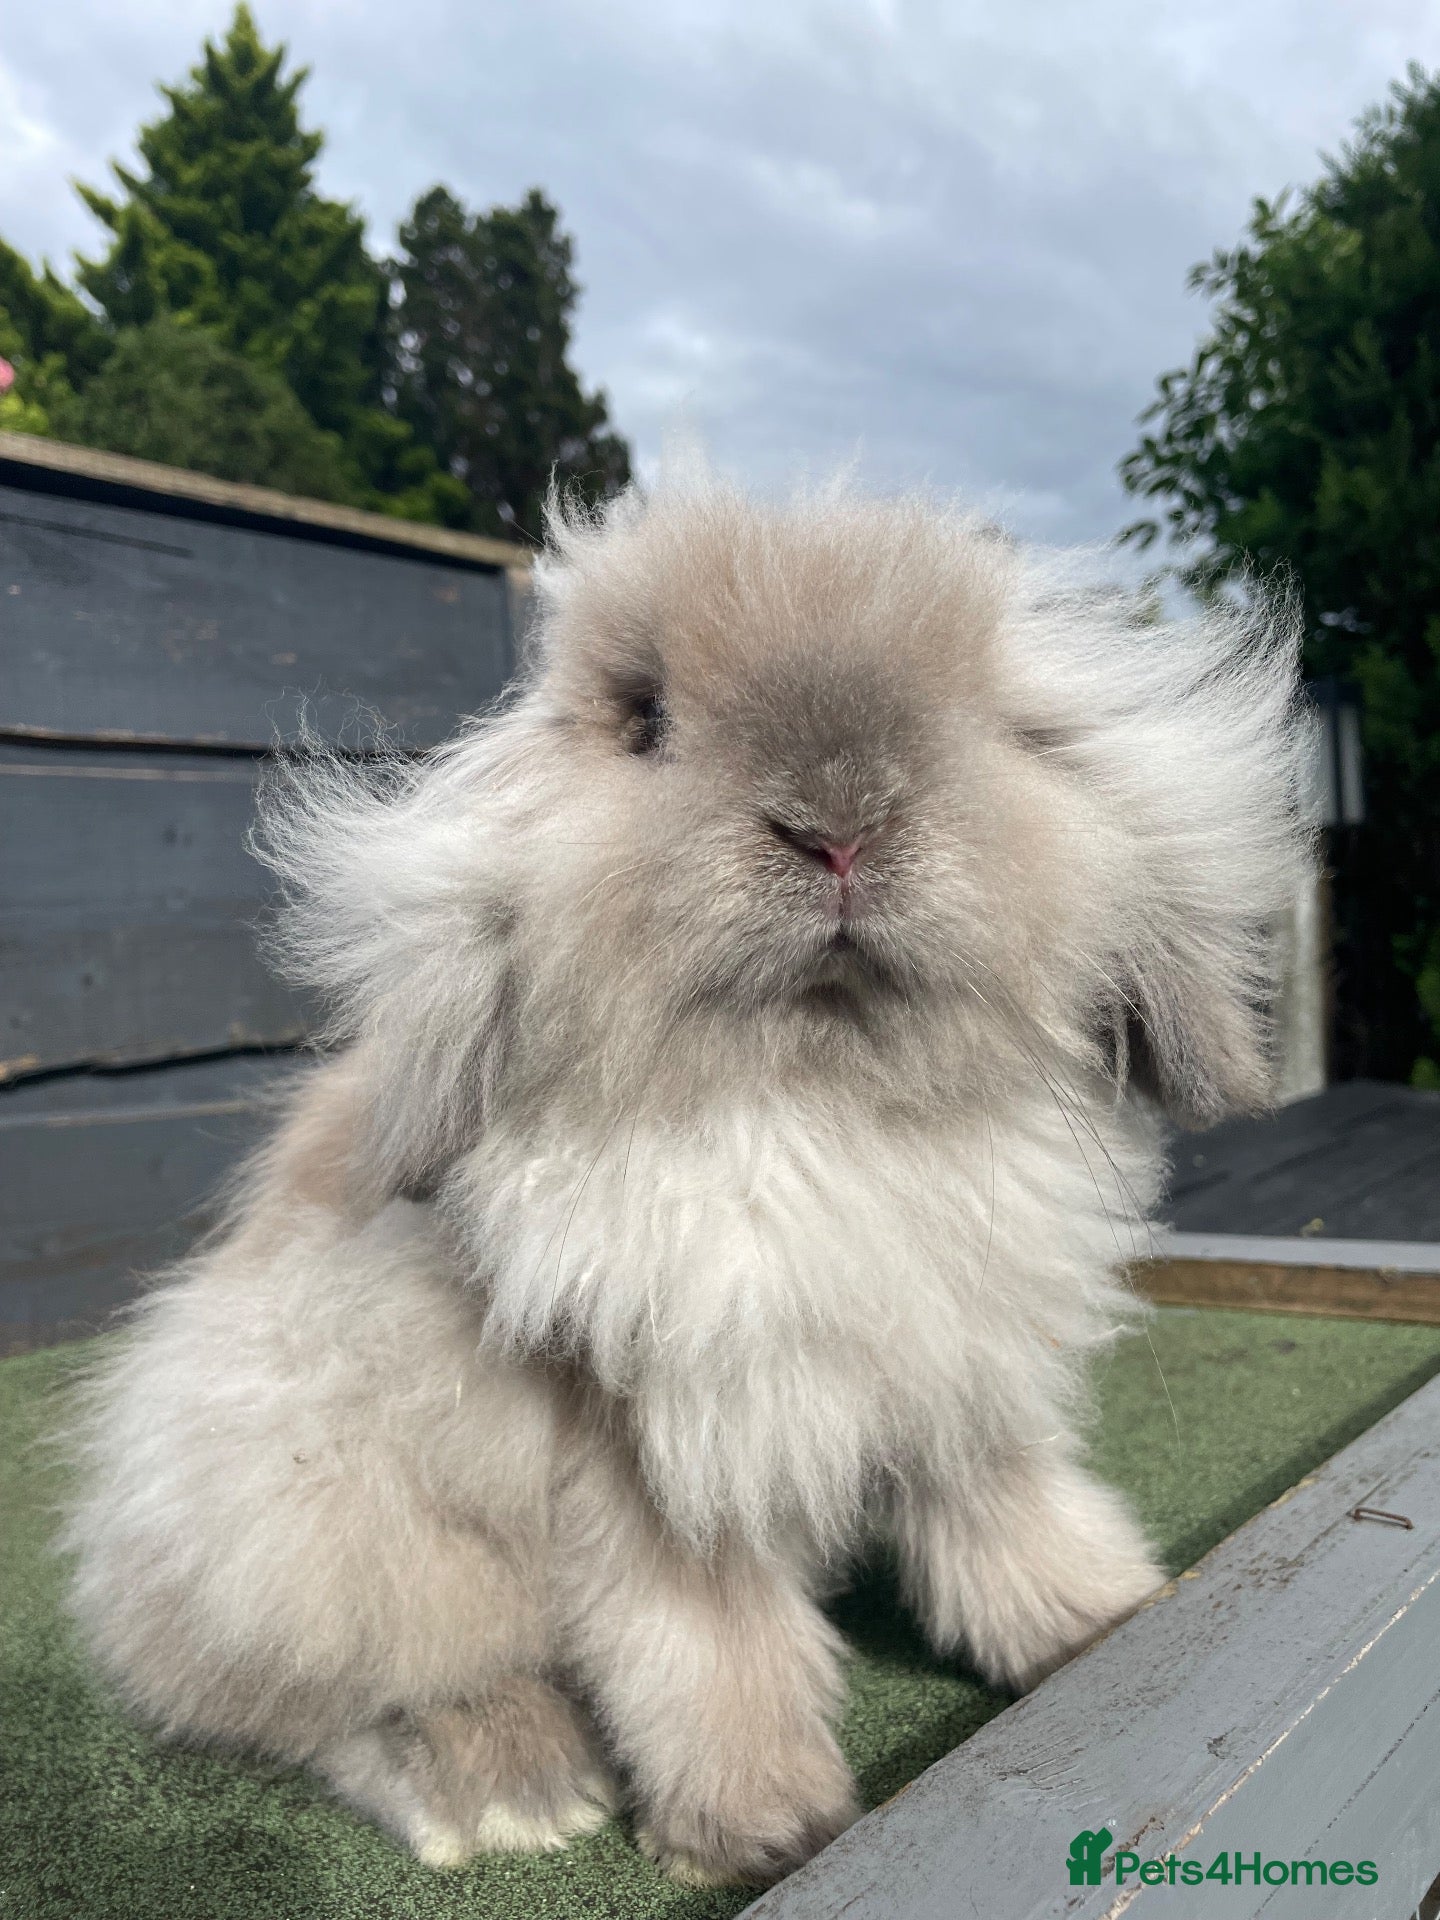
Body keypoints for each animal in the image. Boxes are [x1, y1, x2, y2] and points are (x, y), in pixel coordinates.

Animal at [63, 476, 1312, 1888]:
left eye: (983, 712)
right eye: (644, 719)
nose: (836, 827)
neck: (819, 1099)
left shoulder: (965, 1386)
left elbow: (1012, 1518)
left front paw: (1101, 1626)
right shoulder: (655, 1448)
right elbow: (705, 1640)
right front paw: (760, 1829)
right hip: (324, 1517)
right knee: (333, 1695)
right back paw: (512, 1791)